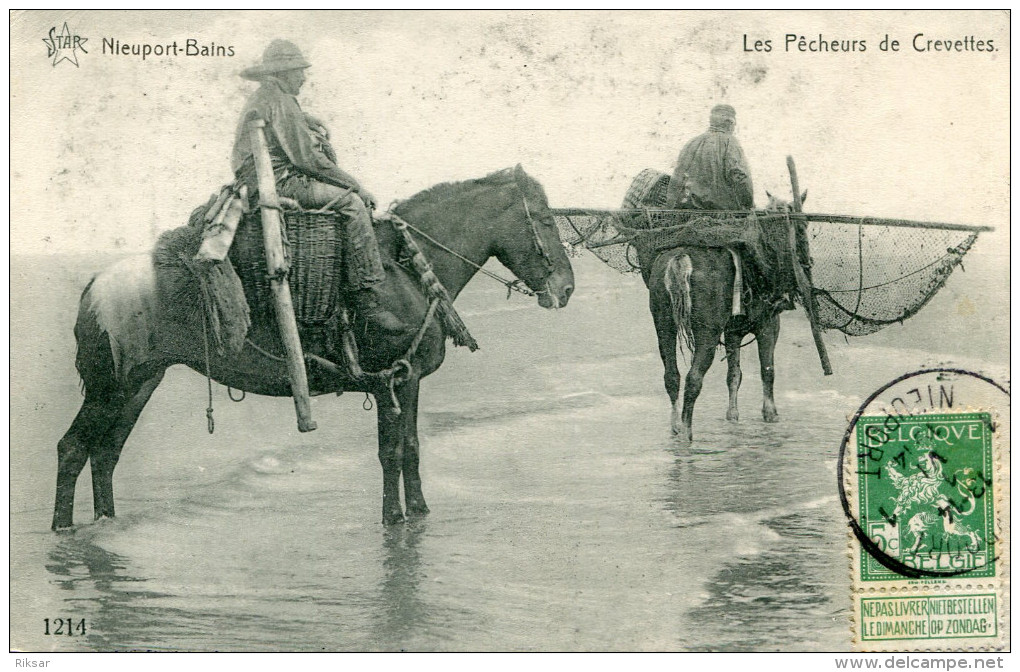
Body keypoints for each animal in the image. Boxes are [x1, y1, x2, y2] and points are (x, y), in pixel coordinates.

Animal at [51, 164, 575, 530]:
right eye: (545, 220)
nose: (567, 288)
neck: (403, 271)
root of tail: (94, 285)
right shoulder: (388, 381)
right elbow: (390, 452)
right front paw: (393, 518)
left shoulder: (409, 381)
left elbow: (410, 447)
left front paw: (420, 511)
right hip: (110, 387)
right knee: (74, 448)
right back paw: (63, 529)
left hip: (140, 383)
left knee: (106, 452)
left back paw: (105, 524)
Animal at [644, 191, 803, 444]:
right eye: (800, 226)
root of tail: (681, 258)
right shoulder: (768, 326)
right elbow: (767, 370)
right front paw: (770, 414)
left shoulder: (732, 332)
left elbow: (734, 374)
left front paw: (733, 415)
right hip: (707, 334)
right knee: (693, 378)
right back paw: (687, 432)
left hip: (664, 325)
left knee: (671, 376)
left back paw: (676, 426)